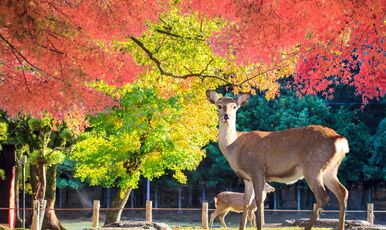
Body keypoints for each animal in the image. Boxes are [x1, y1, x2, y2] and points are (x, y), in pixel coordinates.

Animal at [207, 90, 348, 230]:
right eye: (219, 106)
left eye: (234, 106)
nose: (226, 117)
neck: (235, 149)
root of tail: (340, 140)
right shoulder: (247, 177)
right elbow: (246, 202)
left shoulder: (257, 169)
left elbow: (259, 200)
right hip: (330, 169)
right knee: (342, 192)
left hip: (313, 167)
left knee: (322, 196)